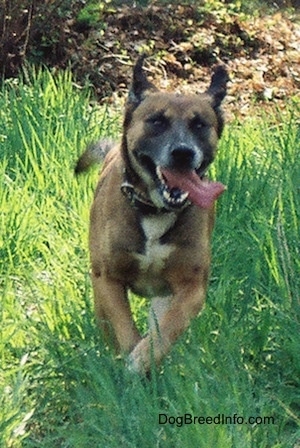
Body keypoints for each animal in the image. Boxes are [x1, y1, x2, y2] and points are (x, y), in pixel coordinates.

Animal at [76, 56, 229, 374]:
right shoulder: (108, 279)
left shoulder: (190, 287)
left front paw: (143, 360)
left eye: (199, 124)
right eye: (157, 121)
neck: (155, 210)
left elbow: (167, 329)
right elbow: (124, 329)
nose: (183, 152)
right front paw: (131, 358)